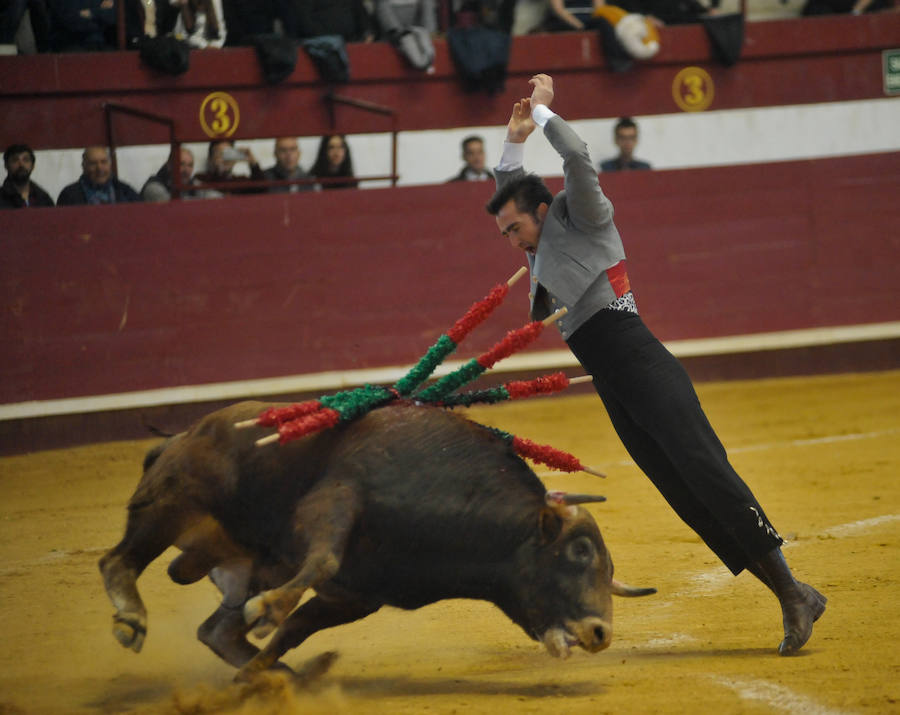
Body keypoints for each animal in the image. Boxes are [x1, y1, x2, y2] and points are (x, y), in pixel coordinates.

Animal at [100, 400, 652, 680]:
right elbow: (320, 560)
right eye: (579, 552)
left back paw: (281, 678)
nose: (601, 632)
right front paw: (269, 610)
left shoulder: (357, 597)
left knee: (216, 632)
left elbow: (291, 631)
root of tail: (182, 434)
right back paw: (131, 619)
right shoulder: (338, 498)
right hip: (172, 502)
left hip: (237, 561)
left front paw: (257, 674)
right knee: (117, 561)